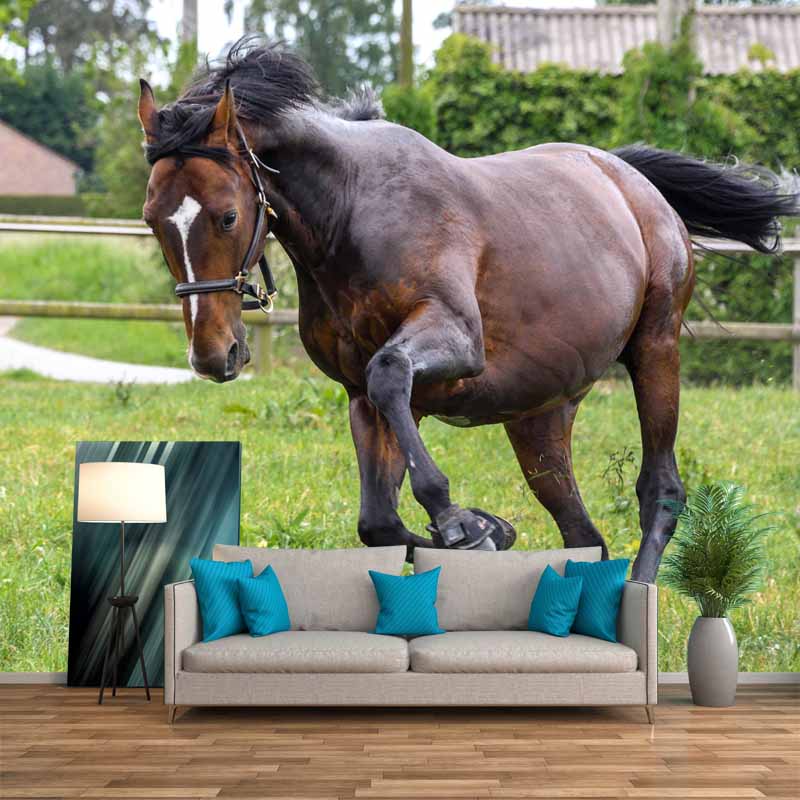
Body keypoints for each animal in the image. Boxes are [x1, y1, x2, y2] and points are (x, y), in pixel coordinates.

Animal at [137, 38, 797, 582]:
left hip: (655, 350)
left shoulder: (452, 343)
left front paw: (463, 524)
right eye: (152, 219)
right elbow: (378, 525)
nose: (213, 355)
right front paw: (489, 528)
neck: (352, 213)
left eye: (227, 215)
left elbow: (391, 377)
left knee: (659, 490)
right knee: (583, 535)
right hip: (539, 418)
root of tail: (628, 177)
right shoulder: (362, 398)